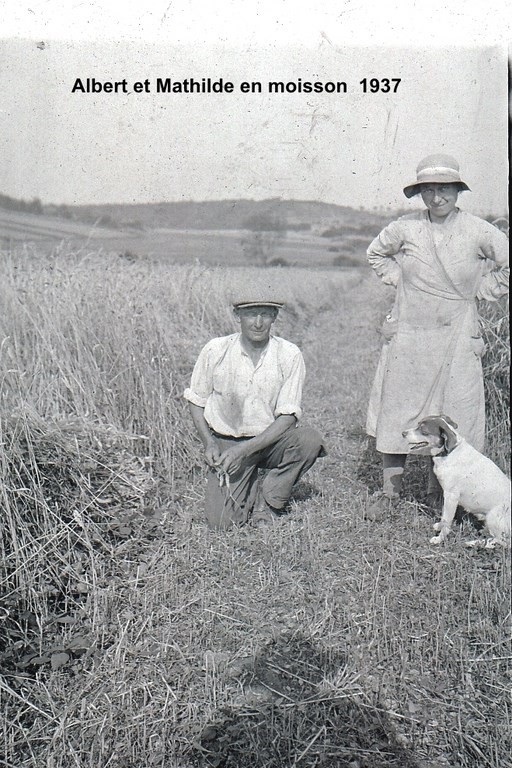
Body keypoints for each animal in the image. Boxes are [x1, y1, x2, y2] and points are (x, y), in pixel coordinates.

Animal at [402, 416, 510, 548]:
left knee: (502, 542)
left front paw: (439, 539)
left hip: (493, 518)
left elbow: (447, 520)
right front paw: (439, 526)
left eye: (423, 430)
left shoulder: (451, 496)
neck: (449, 453)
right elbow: (443, 517)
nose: (403, 433)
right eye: (418, 424)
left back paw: (473, 543)